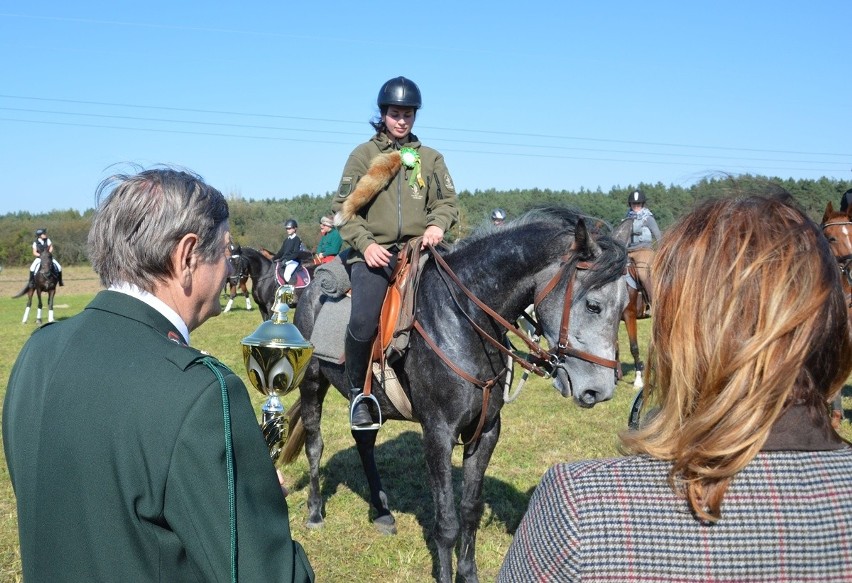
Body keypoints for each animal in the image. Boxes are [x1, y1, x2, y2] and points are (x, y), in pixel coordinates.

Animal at [282, 210, 628, 583]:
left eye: (625, 306)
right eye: (593, 306)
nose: (600, 390)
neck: (462, 319)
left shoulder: (486, 431)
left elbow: (470, 509)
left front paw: (468, 573)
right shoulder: (438, 434)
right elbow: (447, 523)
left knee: (364, 443)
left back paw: (382, 512)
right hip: (312, 384)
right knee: (315, 445)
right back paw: (315, 513)